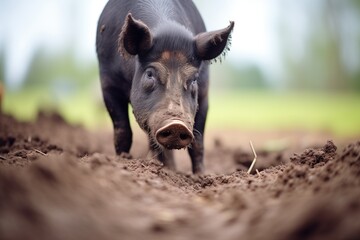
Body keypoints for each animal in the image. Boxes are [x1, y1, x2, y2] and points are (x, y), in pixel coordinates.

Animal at [95, 0, 233, 173]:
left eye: (194, 80)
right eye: (149, 74)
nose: (177, 125)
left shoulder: (204, 94)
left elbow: (198, 142)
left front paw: (200, 175)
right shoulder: (108, 85)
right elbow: (123, 132)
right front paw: (122, 161)